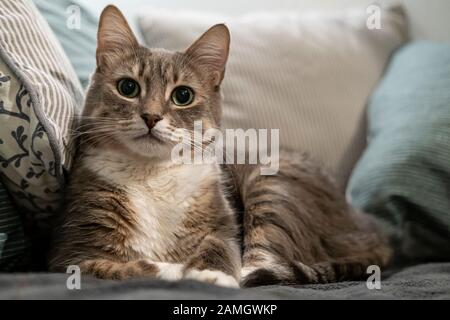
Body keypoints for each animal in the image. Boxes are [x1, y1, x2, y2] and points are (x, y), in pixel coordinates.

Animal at [48, 5, 390, 288]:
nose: (151, 116)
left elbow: (221, 247)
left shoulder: (223, 222)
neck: (152, 174)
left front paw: (211, 274)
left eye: (182, 95)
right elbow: (126, 267)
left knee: (264, 260)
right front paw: (179, 271)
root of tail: (369, 226)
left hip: (273, 184)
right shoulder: (73, 254)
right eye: (128, 87)